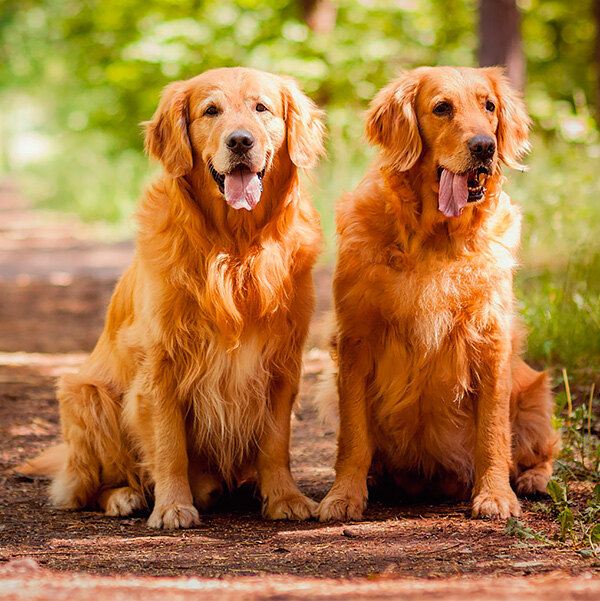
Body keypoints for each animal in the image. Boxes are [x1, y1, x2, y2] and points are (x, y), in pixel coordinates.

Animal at [21, 68, 326, 528]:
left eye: (262, 108)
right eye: (211, 111)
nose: (240, 141)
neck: (234, 247)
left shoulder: (281, 362)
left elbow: (276, 443)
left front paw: (285, 498)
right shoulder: (160, 364)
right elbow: (168, 447)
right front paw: (172, 507)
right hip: (85, 393)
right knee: (88, 485)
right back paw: (125, 496)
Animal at [318, 65, 556, 520]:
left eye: (489, 106)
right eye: (442, 108)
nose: (485, 147)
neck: (435, 238)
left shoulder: (491, 340)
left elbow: (493, 432)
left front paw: (495, 495)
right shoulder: (355, 339)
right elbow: (353, 435)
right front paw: (344, 495)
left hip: (535, 396)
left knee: (542, 452)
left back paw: (531, 480)